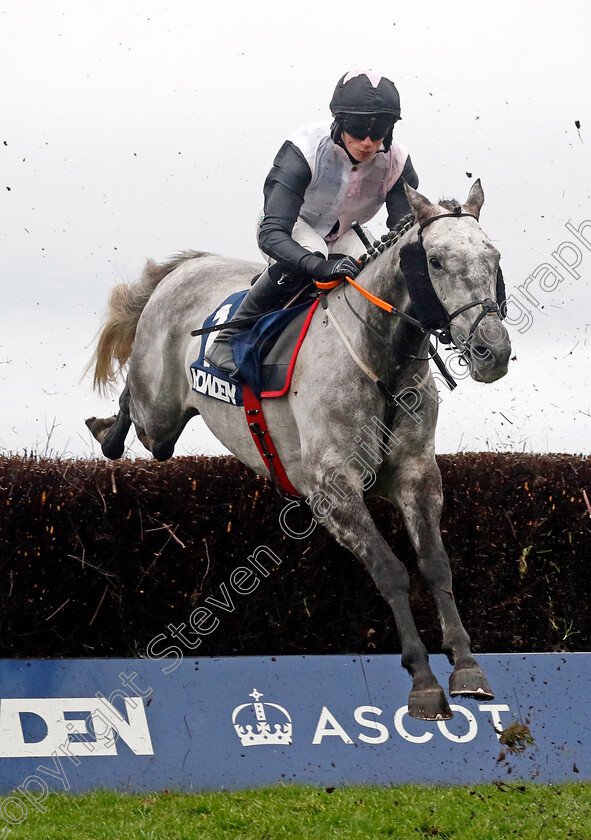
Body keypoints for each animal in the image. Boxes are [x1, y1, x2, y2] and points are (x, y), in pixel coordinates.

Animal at [86, 184, 512, 720]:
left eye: (494, 258)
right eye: (434, 261)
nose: (493, 352)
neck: (381, 361)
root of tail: (186, 267)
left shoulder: (415, 472)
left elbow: (435, 563)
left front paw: (467, 667)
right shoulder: (332, 487)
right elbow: (391, 571)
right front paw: (423, 680)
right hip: (157, 414)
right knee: (134, 408)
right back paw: (105, 431)